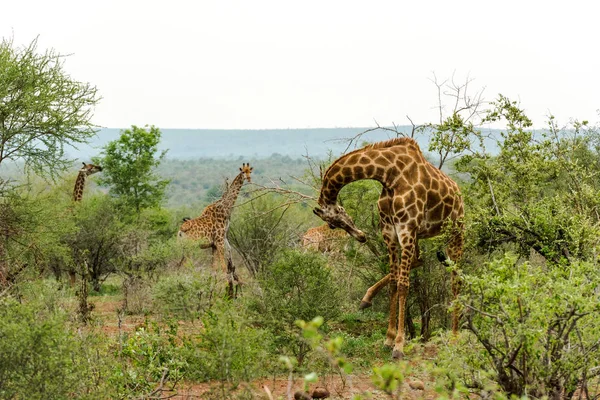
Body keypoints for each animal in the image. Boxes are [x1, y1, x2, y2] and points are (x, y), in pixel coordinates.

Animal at [178, 162, 253, 294]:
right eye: (243, 171)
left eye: (250, 171)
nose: (248, 178)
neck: (225, 208)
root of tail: (181, 231)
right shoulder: (219, 241)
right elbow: (223, 268)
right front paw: (226, 290)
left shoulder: (213, 245)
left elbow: (213, 270)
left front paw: (212, 290)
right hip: (190, 248)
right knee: (186, 265)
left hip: (182, 248)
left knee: (178, 265)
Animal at [312, 138, 466, 360]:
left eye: (333, 224)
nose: (361, 236)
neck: (389, 174)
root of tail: (459, 194)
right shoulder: (390, 231)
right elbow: (394, 282)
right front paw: (388, 338)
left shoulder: (406, 228)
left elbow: (403, 285)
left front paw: (399, 345)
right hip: (419, 235)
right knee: (420, 260)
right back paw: (367, 299)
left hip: (456, 232)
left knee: (456, 279)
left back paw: (454, 337)